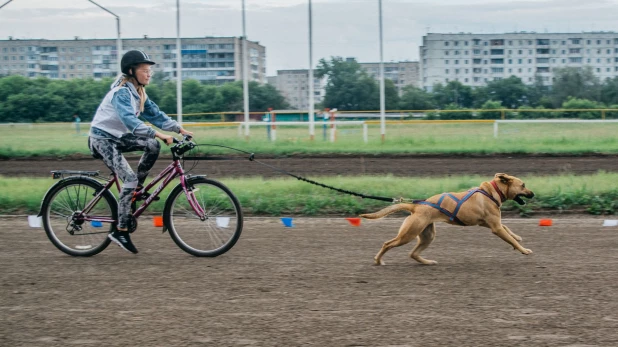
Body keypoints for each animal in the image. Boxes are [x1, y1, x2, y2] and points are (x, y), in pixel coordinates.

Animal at [358, 174, 532, 266]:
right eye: (523, 185)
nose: (533, 194)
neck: (491, 192)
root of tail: (416, 206)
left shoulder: (491, 224)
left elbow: (508, 230)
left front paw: (518, 237)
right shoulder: (495, 227)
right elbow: (509, 237)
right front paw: (523, 249)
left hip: (427, 235)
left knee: (413, 254)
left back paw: (427, 262)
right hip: (408, 234)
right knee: (388, 244)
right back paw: (378, 260)